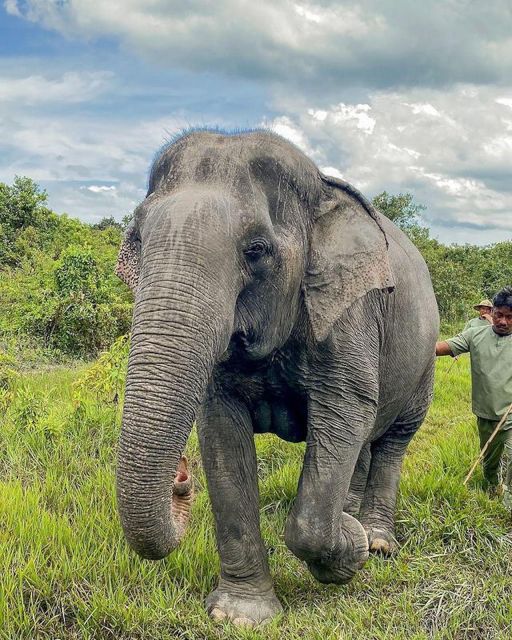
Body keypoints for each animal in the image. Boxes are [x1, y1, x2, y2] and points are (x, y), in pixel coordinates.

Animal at [116, 129, 440, 624]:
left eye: (256, 250)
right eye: (136, 238)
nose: (181, 477)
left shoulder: (348, 313)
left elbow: (344, 412)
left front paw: (353, 547)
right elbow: (222, 435)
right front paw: (237, 616)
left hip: (425, 357)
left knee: (394, 436)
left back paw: (378, 540)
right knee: (367, 437)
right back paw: (352, 514)